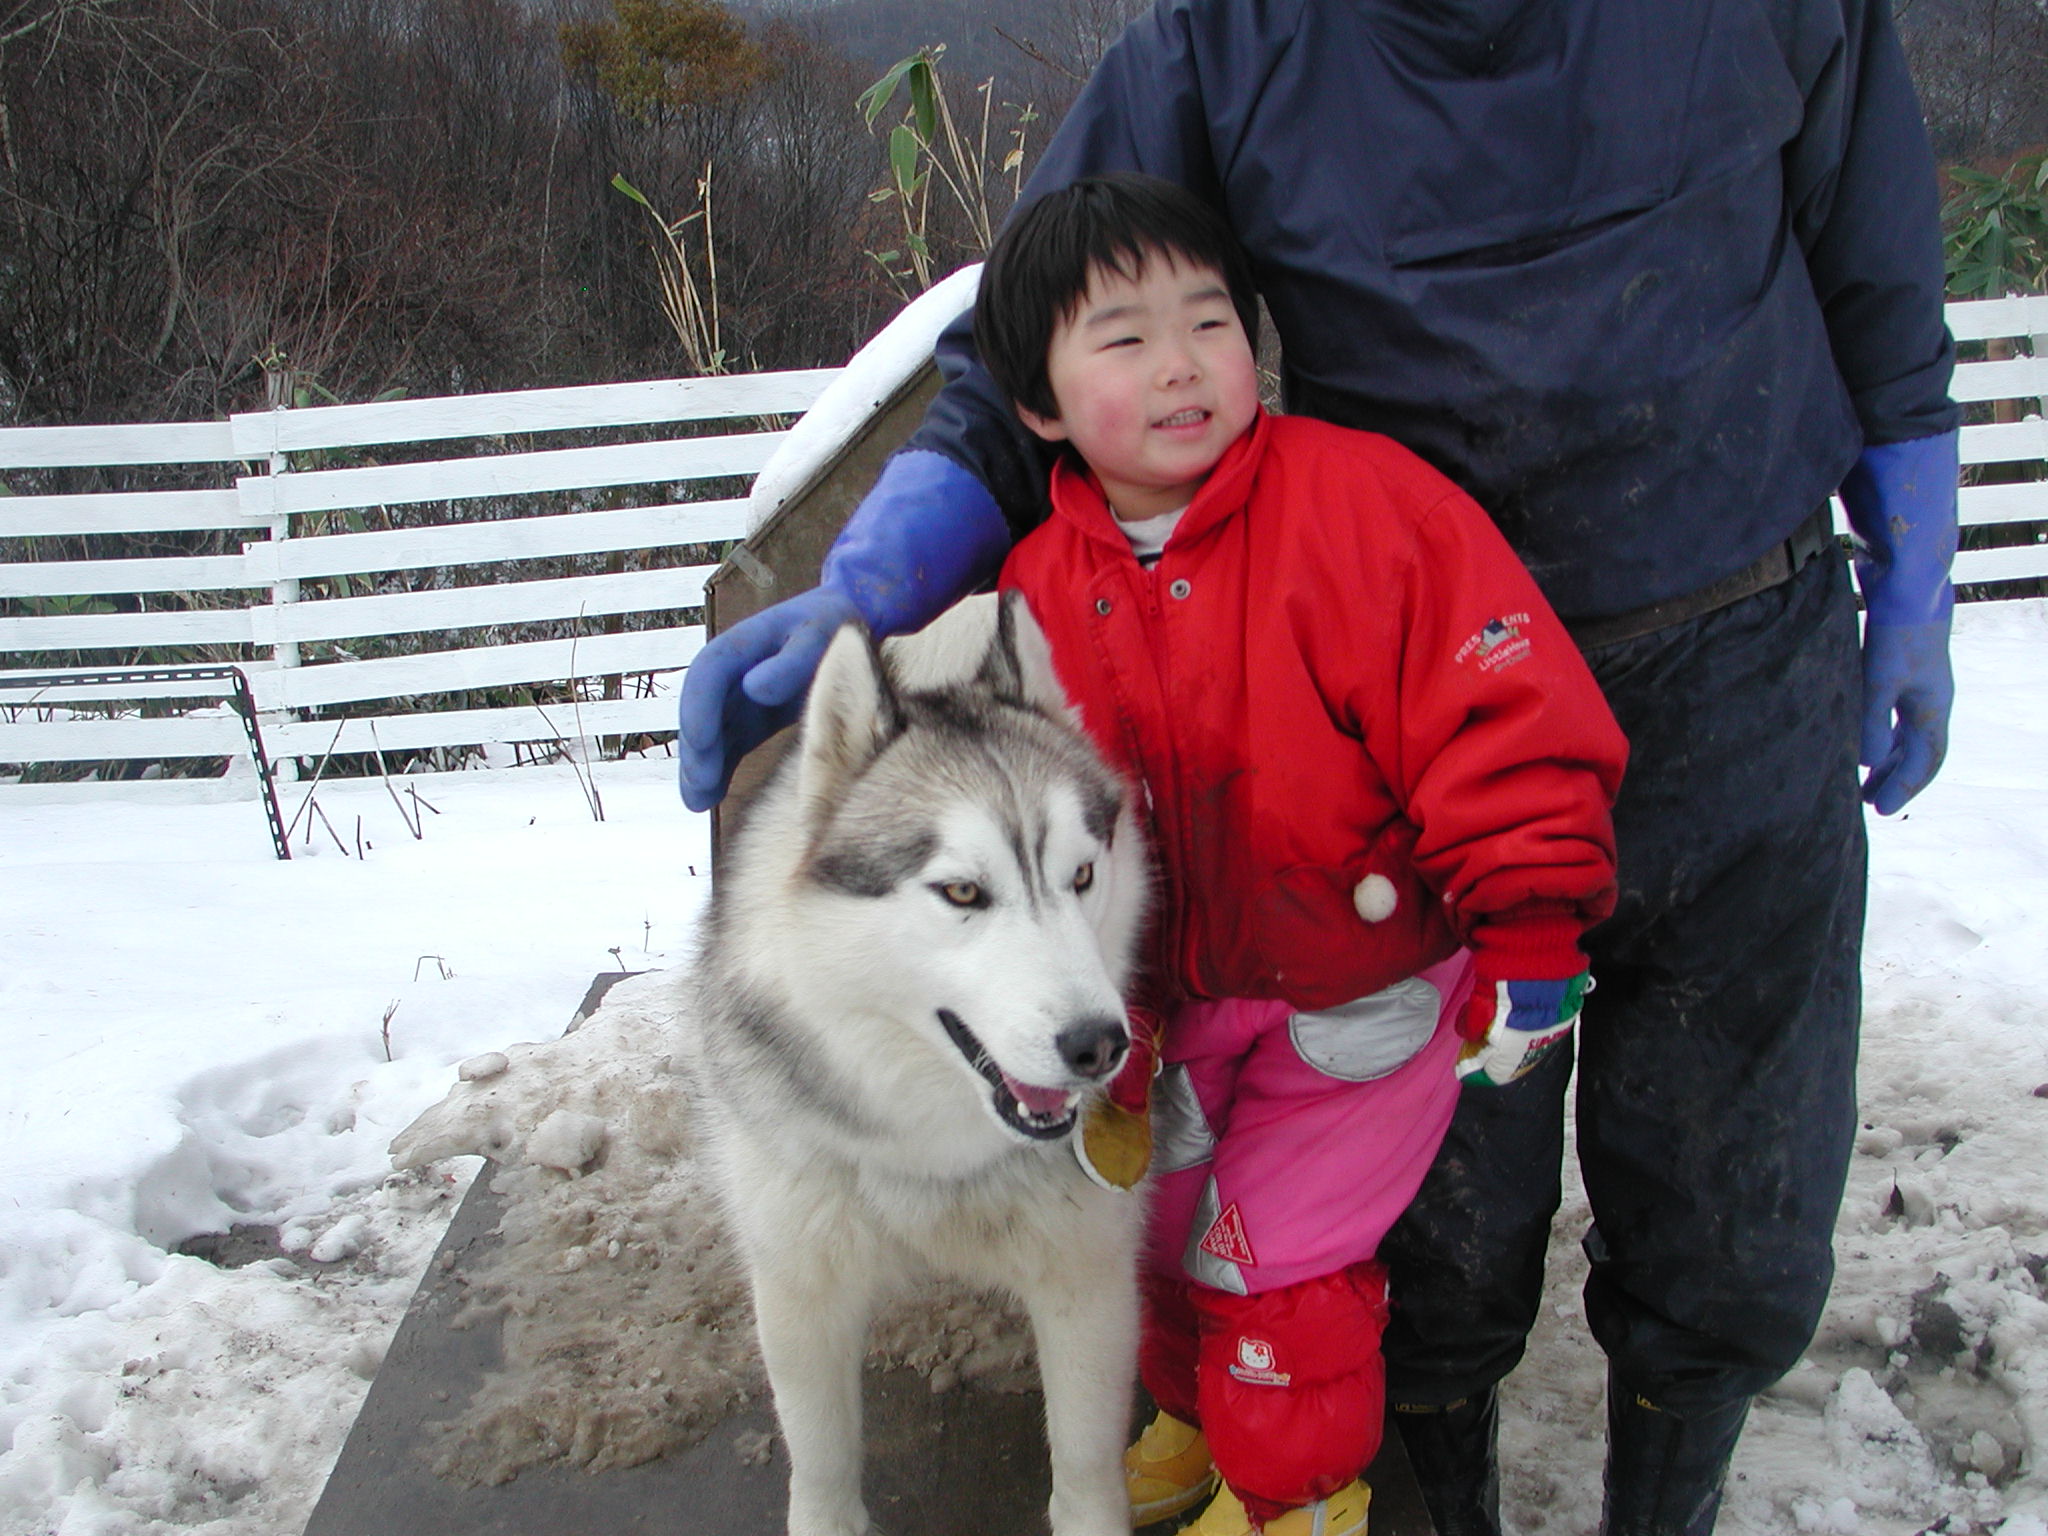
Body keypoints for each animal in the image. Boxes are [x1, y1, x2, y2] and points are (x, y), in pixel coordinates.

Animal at [692, 593, 1155, 1536]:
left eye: (1083, 875)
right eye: (963, 892)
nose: (1099, 1045)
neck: (933, 1155)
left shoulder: (1088, 1279)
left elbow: (1086, 1467)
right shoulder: (800, 1285)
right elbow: (822, 1467)